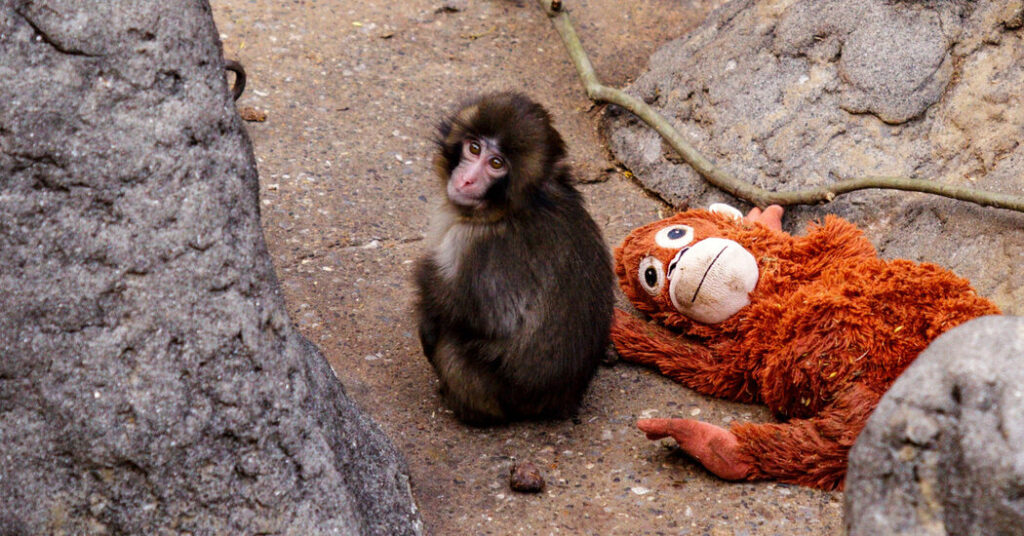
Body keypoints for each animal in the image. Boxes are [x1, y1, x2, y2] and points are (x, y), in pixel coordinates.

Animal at [414, 92, 616, 425]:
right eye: (474, 148)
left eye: (496, 164)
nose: (467, 180)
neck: (512, 208)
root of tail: (562, 400)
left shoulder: (475, 245)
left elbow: (486, 319)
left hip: (494, 394)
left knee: (452, 346)